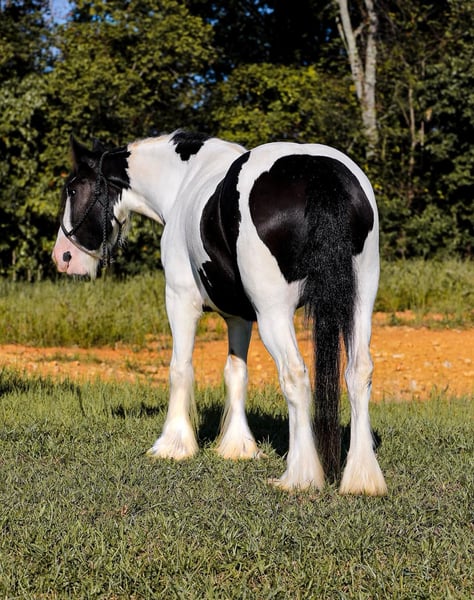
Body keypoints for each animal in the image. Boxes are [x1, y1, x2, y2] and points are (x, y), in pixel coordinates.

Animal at [52, 131, 387, 495]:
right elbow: (236, 373)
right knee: (359, 372)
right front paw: (238, 446)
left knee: (295, 376)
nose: (62, 257)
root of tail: (317, 174)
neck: (182, 180)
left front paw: (173, 445)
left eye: (73, 189)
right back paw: (362, 478)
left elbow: (180, 368)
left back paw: (300, 477)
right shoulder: (239, 316)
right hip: (360, 301)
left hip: (274, 313)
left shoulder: (179, 299)